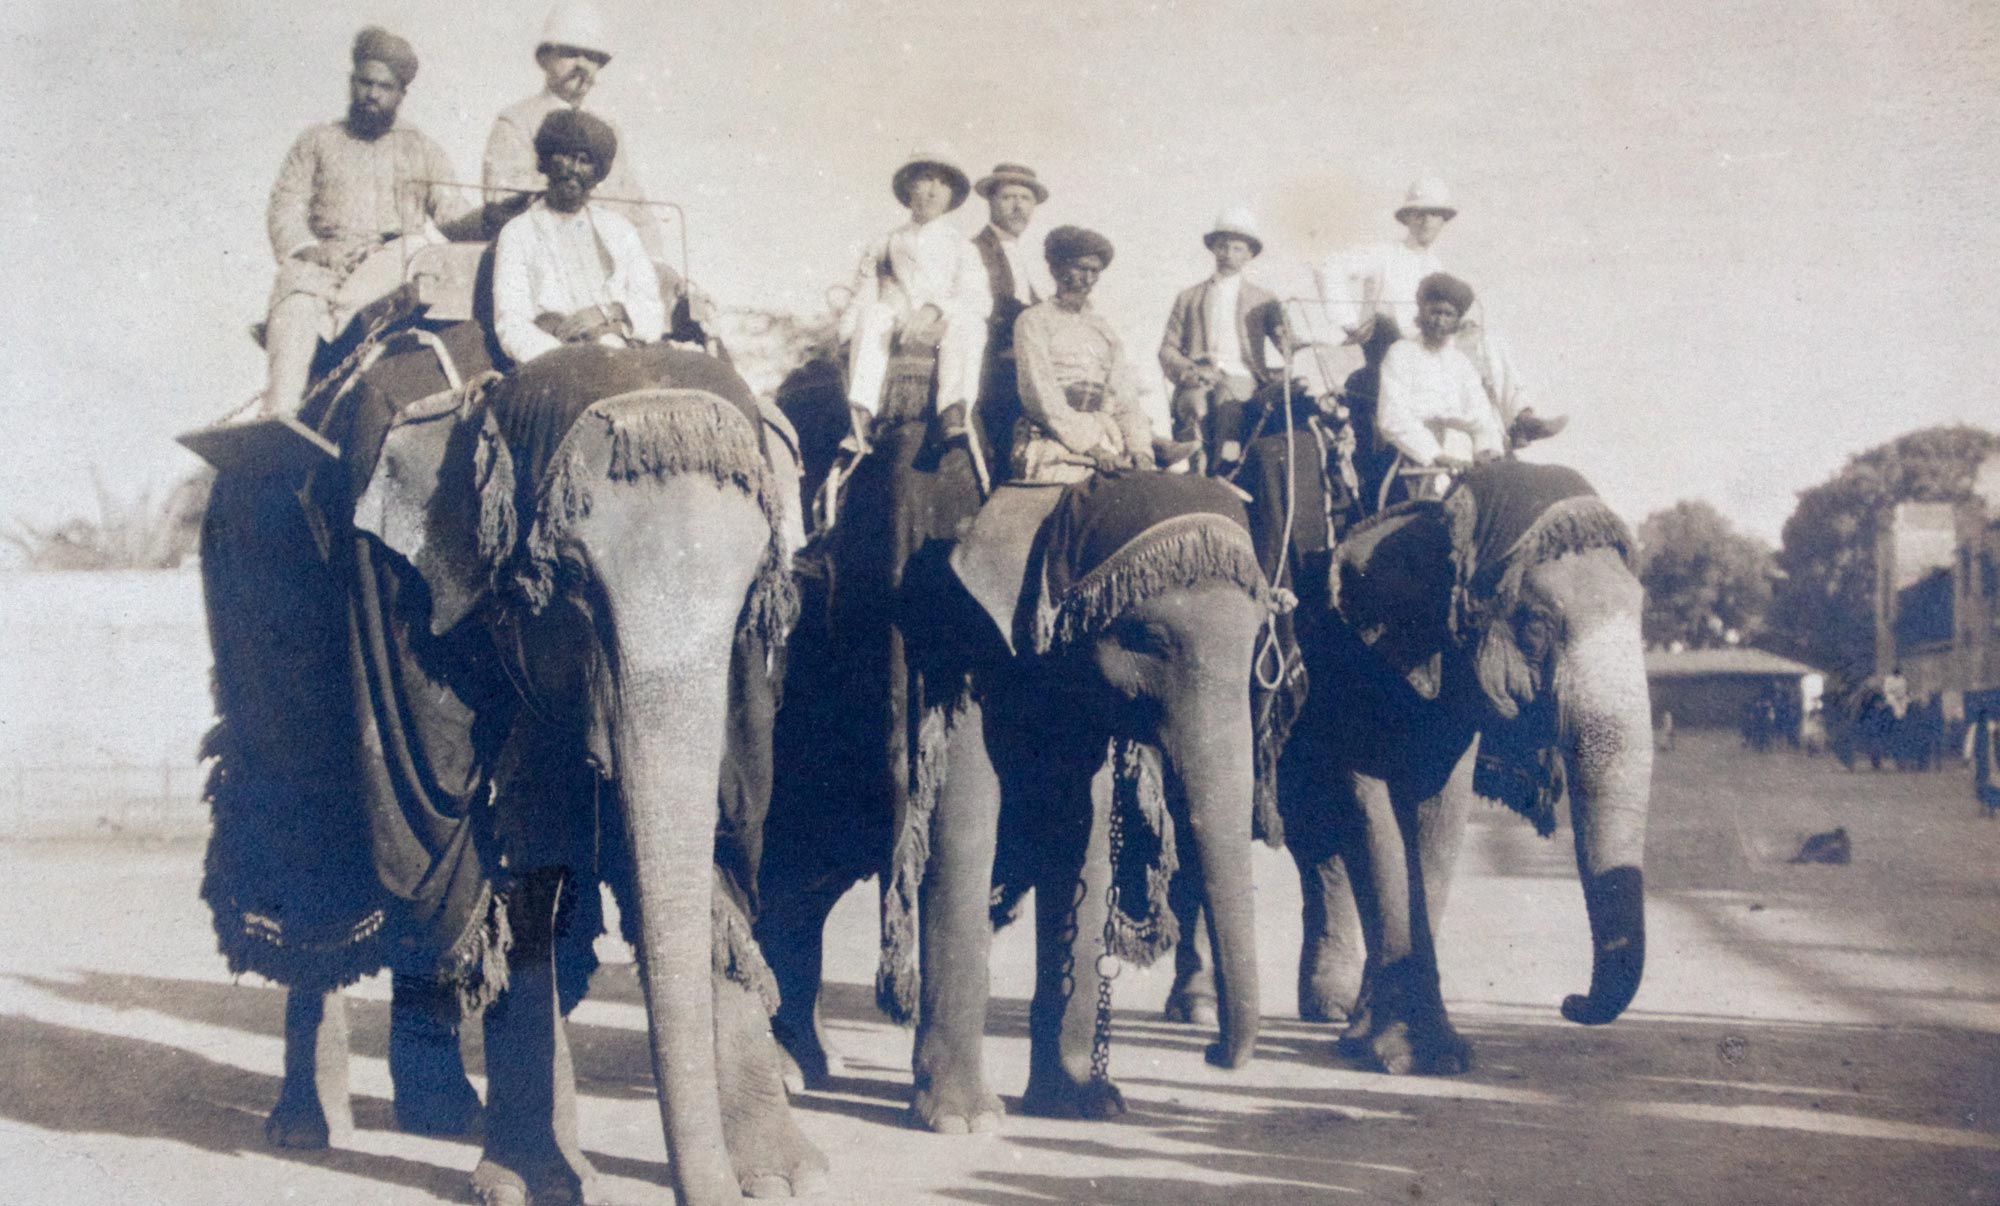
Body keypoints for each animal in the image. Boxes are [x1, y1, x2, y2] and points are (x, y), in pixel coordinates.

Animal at [199, 324, 824, 1206]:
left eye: (753, 593)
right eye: (571, 585)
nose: (710, 1193)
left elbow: (712, 843)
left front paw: (784, 1177)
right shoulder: (409, 610)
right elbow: (515, 856)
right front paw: (540, 1187)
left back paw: (440, 1117)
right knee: (320, 855)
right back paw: (308, 1129)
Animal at [756, 472, 1272, 1136]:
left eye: (1258, 638)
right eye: (1146, 639)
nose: (1210, 1052)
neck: (1049, 504)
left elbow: (1082, 845)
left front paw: (1088, 1105)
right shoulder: (956, 662)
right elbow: (963, 839)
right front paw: (964, 1124)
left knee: (802, 891)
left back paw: (815, 1065)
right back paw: (789, 1074)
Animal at [1168, 456, 1648, 1072]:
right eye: (1536, 624)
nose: (1570, 1002)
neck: (1429, 521)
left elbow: (1439, 817)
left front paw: (1418, 1050)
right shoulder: (1344, 661)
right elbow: (1373, 813)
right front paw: (1403, 1056)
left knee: (1318, 849)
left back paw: (1332, 1009)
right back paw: (1200, 1009)